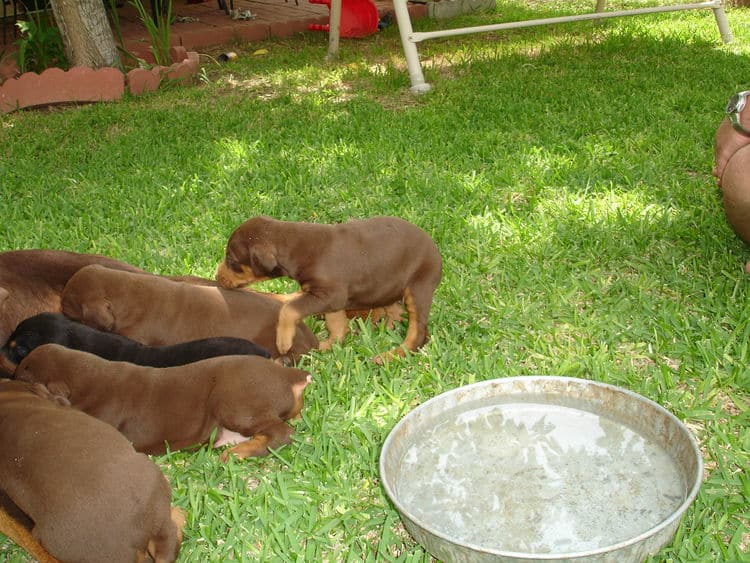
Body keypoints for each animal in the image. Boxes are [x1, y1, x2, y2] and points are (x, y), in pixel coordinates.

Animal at [16, 344, 312, 462]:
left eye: (24, 373)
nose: (11, 375)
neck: (86, 377)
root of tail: (290, 376)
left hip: (235, 403)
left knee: (281, 432)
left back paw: (239, 452)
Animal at [214, 214, 444, 364]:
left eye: (232, 260)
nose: (217, 277)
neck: (297, 246)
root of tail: (435, 249)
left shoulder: (330, 296)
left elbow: (289, 309)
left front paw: (284, 341)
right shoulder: (330, 300)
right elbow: (337, 326)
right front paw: (324, 347)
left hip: (419, 286)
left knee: (418, 331)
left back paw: (390, 355)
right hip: (387, 286)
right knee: (394, 310)